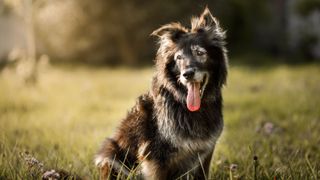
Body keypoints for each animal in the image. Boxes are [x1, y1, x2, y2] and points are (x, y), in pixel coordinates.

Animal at [95, 7, 228, 180]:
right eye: (179, 57)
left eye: (200, 53)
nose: (187, 74)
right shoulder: (156, 156)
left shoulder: (206, 152)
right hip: (111, 155)